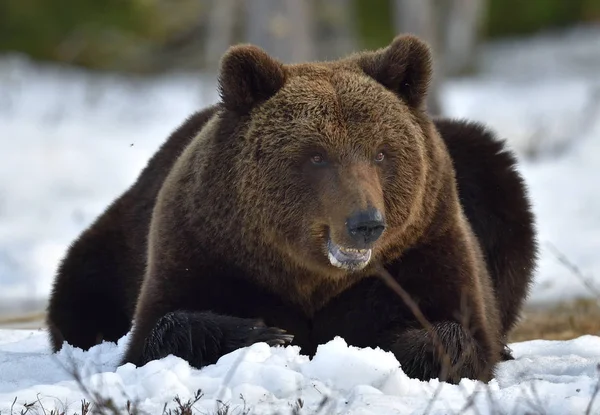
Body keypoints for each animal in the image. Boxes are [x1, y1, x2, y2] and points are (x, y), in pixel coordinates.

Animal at [44, 34, 536, 386]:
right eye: (316, 155)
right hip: (119, 238)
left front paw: (386, 344)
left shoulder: (425, 250)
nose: (366, 224)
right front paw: (265, 333)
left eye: (381, 153)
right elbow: (156, 331)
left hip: (484, 174)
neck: (311, 277)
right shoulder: (204, 246)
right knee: (80, 291)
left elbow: (461, 334)